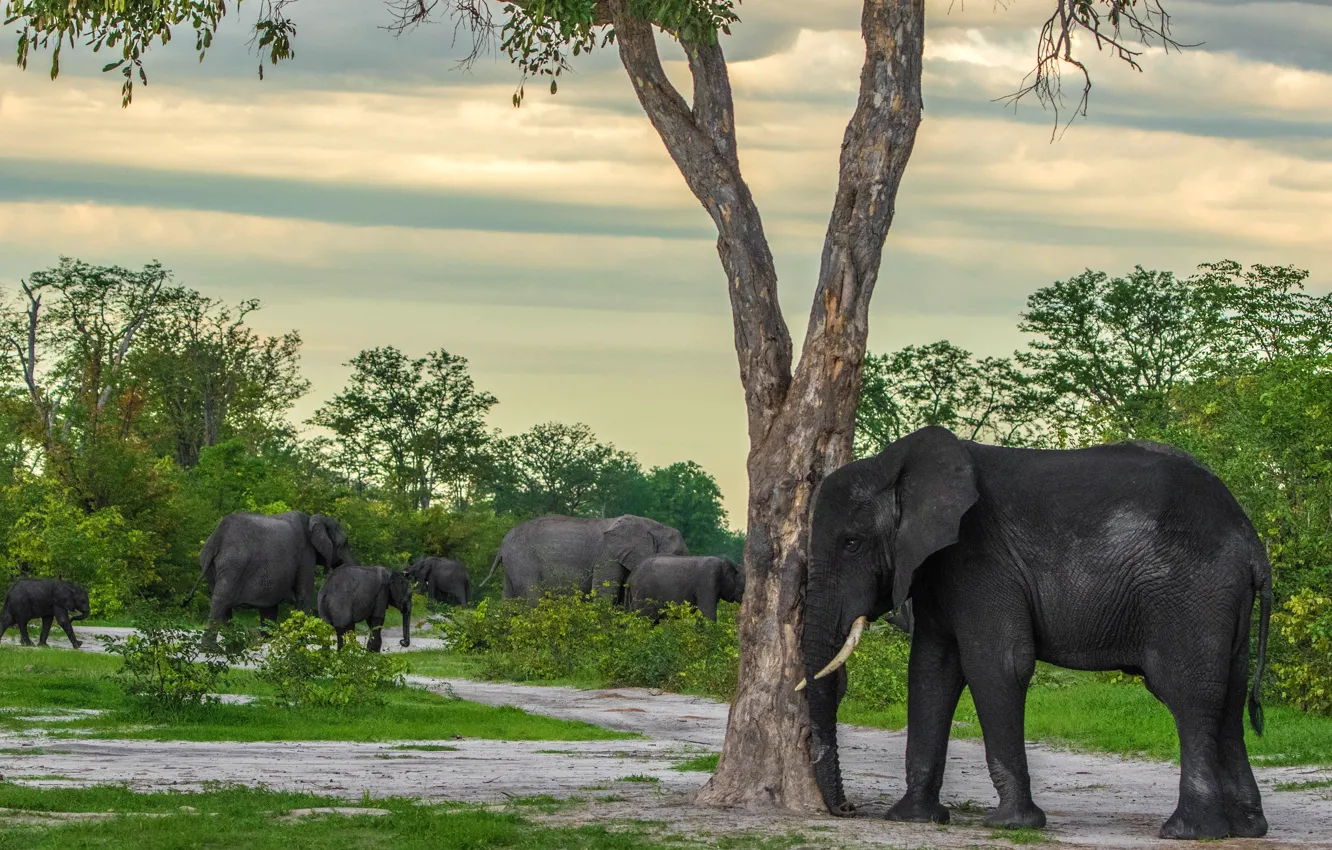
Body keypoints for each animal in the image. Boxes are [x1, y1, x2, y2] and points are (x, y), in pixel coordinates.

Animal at [184, 511, 355, 630]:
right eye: (345, 543)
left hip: (209, 565)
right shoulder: (306, 555)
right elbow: (304, 596)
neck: (314, 519)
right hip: (234, 563)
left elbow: (269, 607)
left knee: (223, 606)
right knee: (221, 601)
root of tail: (217, 538)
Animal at [480, 514, 688, 603]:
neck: (652, 526)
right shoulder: (608, 555)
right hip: (523, 561)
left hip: (513, 565)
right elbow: (605, 592)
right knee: (532, 597)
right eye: (678, 553)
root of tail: (502, 546)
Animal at [801, 425, 1272, 841]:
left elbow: (998, 664)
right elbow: (931, 671)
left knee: (1187, 693)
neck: (897, 464)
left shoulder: (980, 560)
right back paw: (1246, 829)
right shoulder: (936, 569)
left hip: (1189, 592)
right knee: (1230, 696)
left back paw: (1189, 832)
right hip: (1223, 601)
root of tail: (1252, 542)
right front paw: (913, 819)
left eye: (851, 543)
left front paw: (1011, 825)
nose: (847, 809)